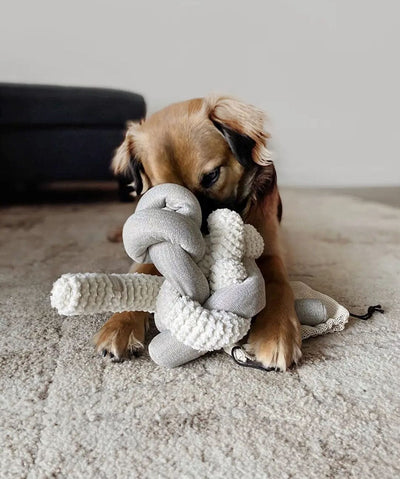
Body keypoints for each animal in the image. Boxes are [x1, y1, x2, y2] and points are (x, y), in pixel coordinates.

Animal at [93, 94, 300, 372]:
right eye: (167, 194)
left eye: (211, 176)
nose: (201, 242)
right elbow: (139, 273)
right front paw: (119, 325)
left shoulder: (271, 252)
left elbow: (278, 283)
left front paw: (277, 333)